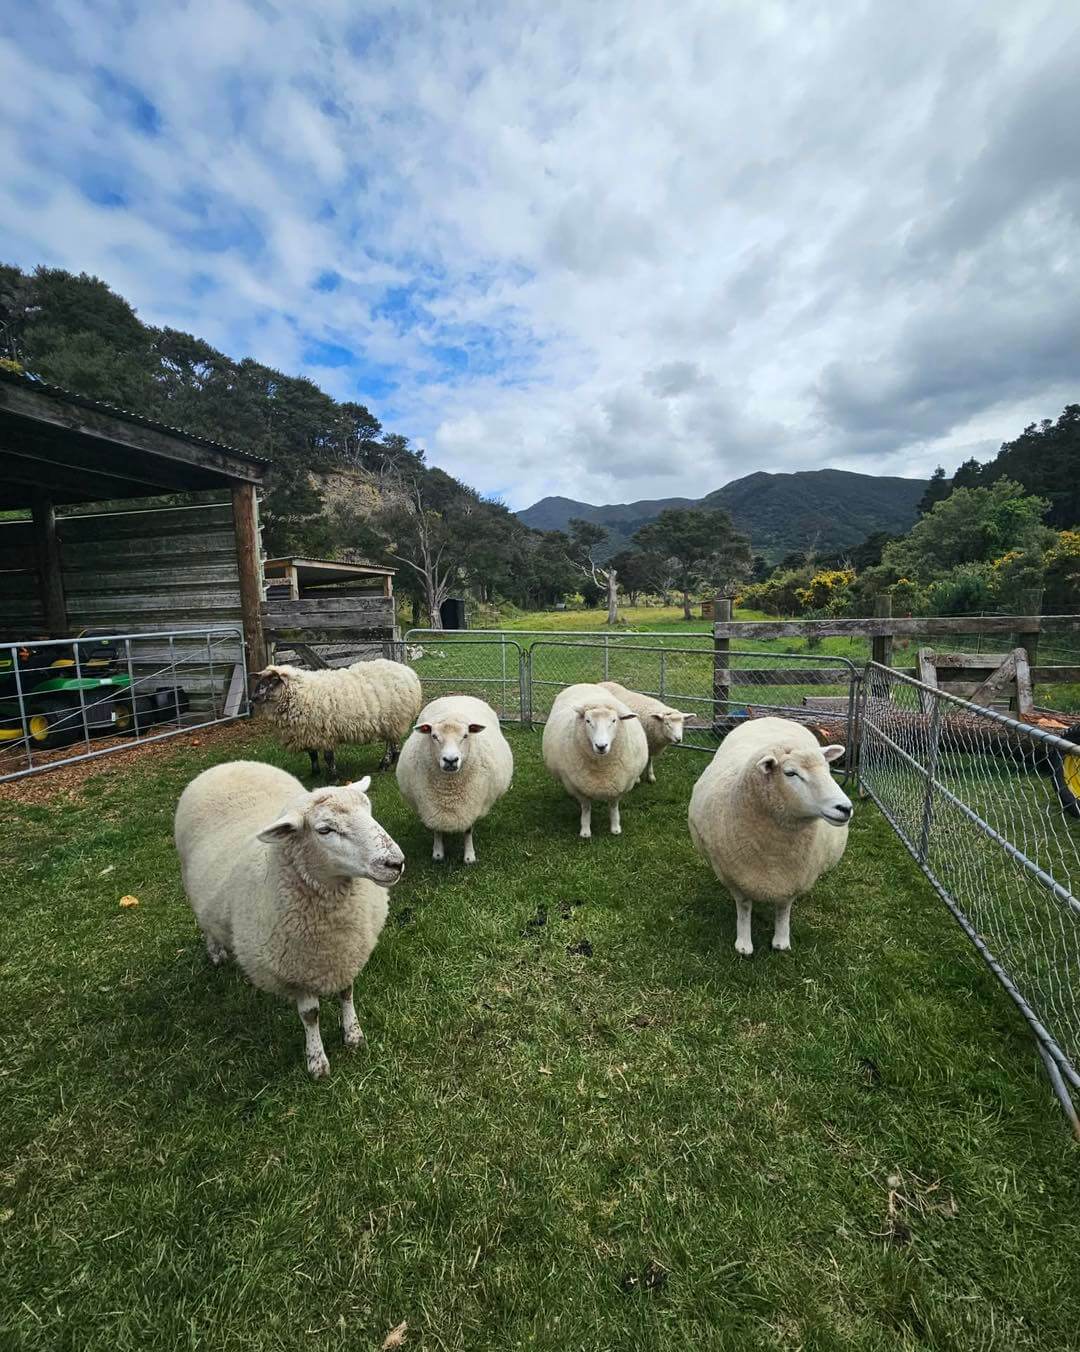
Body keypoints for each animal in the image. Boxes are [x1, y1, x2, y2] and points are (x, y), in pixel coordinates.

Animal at [174, 761, 405, 1077]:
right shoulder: (295, 972)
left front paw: (353, 1034)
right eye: (324, 829)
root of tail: (227, 765)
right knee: (206, 924)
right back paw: (216, 952)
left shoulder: (347, 953)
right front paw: (317, 1060)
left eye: (369, 811)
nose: (396, 862)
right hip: (191, 887)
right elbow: (310, 1015)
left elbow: (347, 993)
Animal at [251, 657, 423, 776]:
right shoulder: (307, 732)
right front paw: (315, 773)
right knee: (394, 741)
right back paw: (394, 758)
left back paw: (385, 764)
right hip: (393, 721)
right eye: (261, 680)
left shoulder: (325, 732)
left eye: (274, 680)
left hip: (394, 719)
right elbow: (312, 755)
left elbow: (328, 757)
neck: (300, 693)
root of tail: (407, 670)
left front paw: (333, 776)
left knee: (390, 743)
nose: (254, 697)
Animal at [395, 694, 513, 864]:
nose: (450, 760)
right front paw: (438, 853)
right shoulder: (432, 806)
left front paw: (469, 856)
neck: (449, 791)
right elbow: (437, 829)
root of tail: (457, 695)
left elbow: (468, 830)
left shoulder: (469, 805)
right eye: (434, 736)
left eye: (465, 735)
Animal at [541, 682, 649, 838]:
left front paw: (615, 827)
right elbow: (586, 808)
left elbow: (613, 806)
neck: (602, 768)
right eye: (588, 721)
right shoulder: (580, 787)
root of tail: (583, 684)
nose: (601, 746)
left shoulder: (619, 785)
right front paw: (585, 830)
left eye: (614, 720)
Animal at [688, 716, 852, 957]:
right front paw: (743, 944)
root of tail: (772, 717)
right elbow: (744, 908)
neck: (775, 853)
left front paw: (781, 940)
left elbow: (783, 909)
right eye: (790, 773)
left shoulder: (792, 880)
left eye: (827, 769)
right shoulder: (736, 877)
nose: (845, 808)